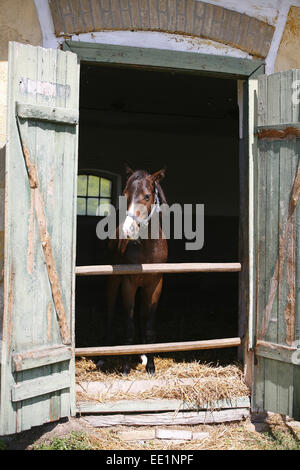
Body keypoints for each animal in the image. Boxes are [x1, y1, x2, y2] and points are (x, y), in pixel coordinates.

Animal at [99, 165, 168, 374]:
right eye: (126, 194)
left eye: (147, 196)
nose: (128, 230)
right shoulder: (128, 283)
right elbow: (128, 325)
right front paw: (125, 366)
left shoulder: (155, 284)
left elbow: (149, 325)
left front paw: (151, 365)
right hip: (113, 283)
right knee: (109, 313)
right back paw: (102, 357)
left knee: (141, 316)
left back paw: (143, 355)